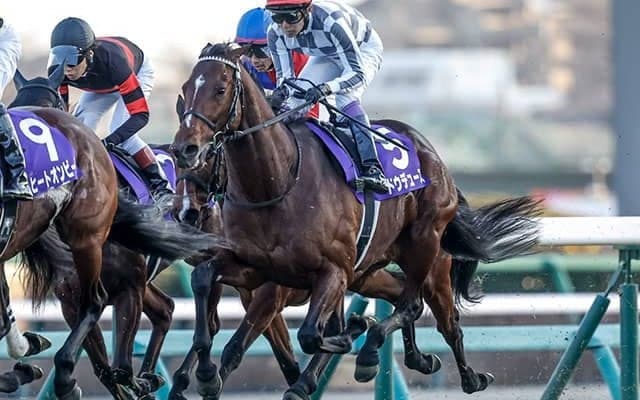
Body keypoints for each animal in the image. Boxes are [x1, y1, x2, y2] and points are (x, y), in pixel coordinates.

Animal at [3, 65, 221, 400]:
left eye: (51, 105)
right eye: (16, 104)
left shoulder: (128, 289)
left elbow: (118, 365)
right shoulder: (71, 300)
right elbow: (104, 368)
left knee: (209, 315)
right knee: (166, 309)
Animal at [170, 43, 542, 399]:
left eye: (220, 89)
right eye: (186, 87)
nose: (185, 149)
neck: (277, 183)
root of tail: (435, 159)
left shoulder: (318, 276)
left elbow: (307, 335)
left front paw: (348, 337)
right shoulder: (255, 268)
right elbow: (205, 285)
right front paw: (204, 375)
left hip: (427, 251)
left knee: (427, 311)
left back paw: (454, 372)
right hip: (370, 270)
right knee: (403, 298)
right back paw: (417, 359)